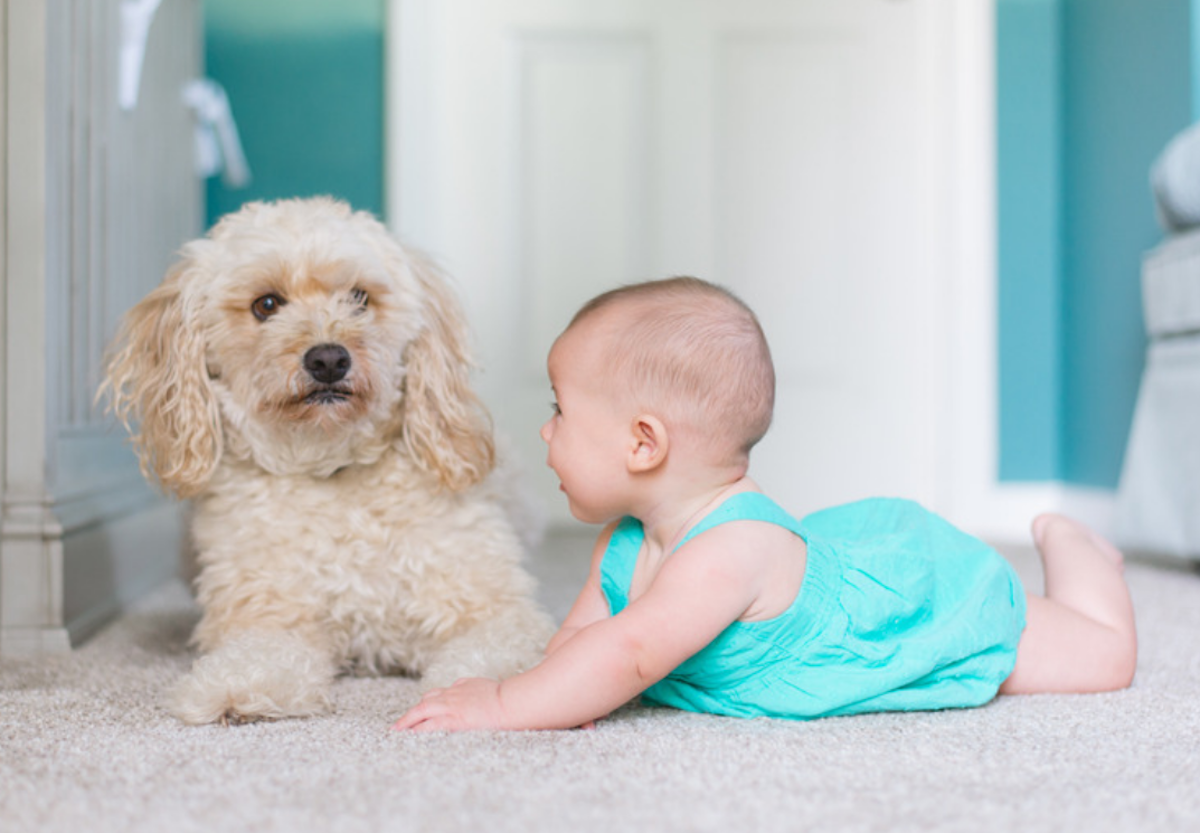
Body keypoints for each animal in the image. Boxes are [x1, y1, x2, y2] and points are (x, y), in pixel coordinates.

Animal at [103, 199, 552, 729]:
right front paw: (236, 688)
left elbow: (498, 653)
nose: (329, 359)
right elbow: (260, 655)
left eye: (359, 297)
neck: (331, 469)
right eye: (266, 305)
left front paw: (482, 692)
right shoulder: (269, 616)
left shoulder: (493, 609)